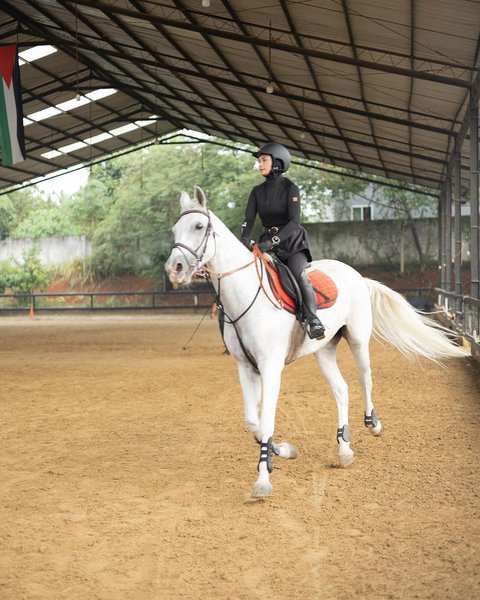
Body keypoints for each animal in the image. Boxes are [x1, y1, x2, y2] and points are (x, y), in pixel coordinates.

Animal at [166, 186, 468, 496]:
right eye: (174, 230)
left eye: (199, 226)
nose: (174, 269)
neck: (245, 295)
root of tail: (356, 275)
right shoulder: (246, 368)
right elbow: (253, 421)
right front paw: (283, 450)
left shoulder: (271, 368)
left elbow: (266, 418)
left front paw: (263, 479)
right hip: (324, 350)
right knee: (342, 389)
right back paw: (344, 449)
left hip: (358, 339)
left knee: (365, 378)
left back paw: (373, 424)